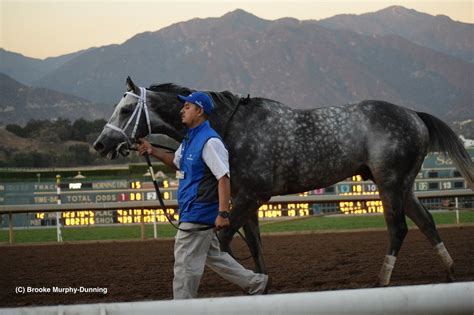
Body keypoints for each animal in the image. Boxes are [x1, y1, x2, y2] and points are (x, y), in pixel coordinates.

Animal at [94, 76, 472, 286]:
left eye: (125, 110)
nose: (100, 144)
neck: (230, 126)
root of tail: (415, 116)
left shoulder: (252, 195)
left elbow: (223, 240)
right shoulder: (245, 197)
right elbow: (253, 244)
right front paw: (262, 281)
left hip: (389, 183)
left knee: (399, 228)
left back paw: (383, 280)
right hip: (404, 184)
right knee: (426, 222)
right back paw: (450, 272)